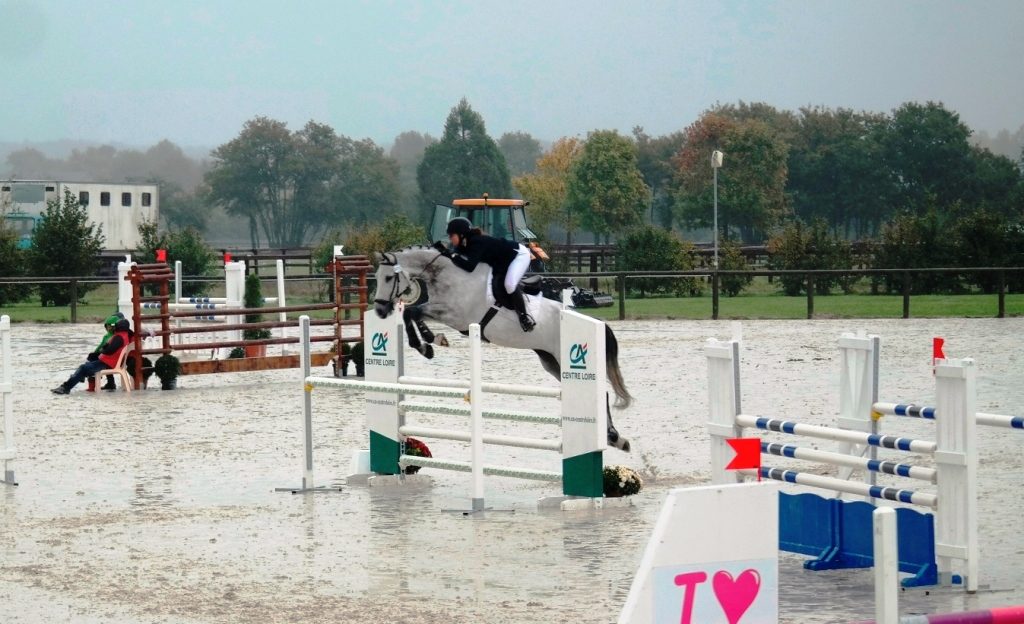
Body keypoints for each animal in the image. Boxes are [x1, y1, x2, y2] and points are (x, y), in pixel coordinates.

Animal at [372, 245, 626, 450]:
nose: (380, 311)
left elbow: (414, 311)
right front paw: (429, 344)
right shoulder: (441, 309)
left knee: (602, 393)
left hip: (562, 357)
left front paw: (429, 341)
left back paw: (613, 435)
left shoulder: (455, 315)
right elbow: (412, 313)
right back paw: (615, 437)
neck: (449, 276)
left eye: (388, 278)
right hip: (551, 361)